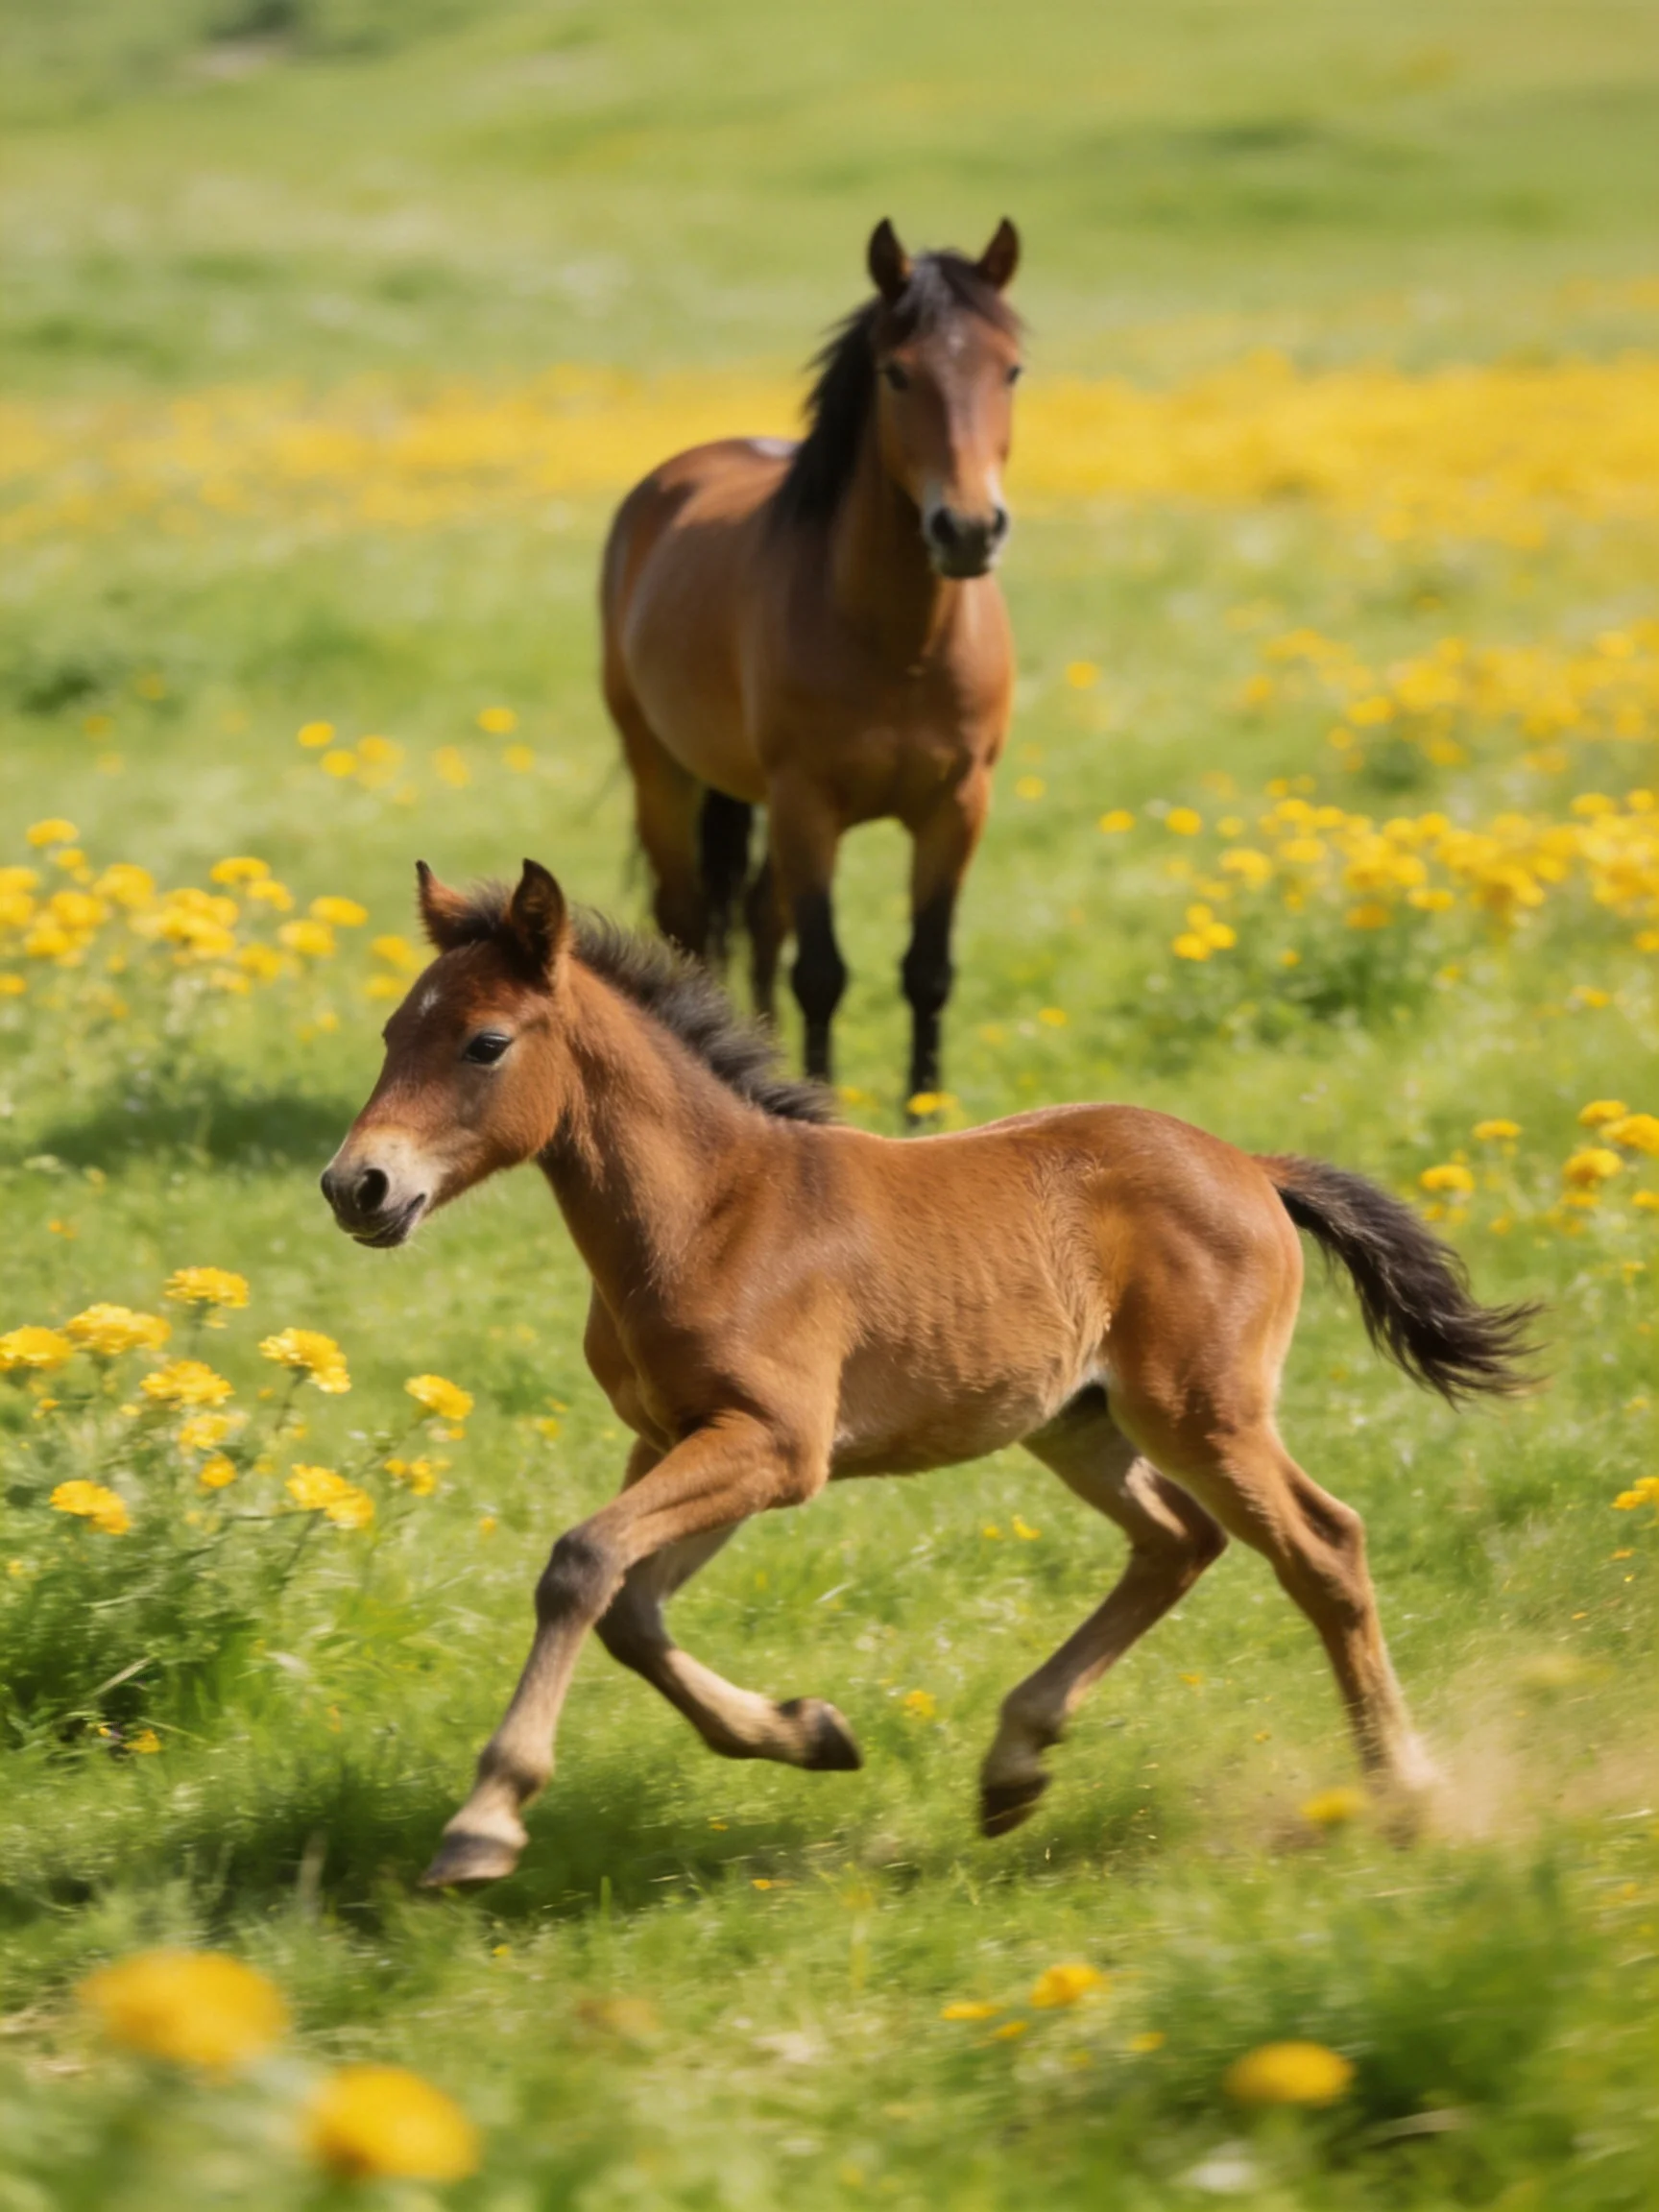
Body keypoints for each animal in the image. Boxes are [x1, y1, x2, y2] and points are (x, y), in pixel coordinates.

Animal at [321, 861, 1538, 1888]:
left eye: (484, 1043)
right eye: (389, 1032)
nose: (356, 1186)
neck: (711, 1211)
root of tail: (1251, 1166)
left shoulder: (775, 1445)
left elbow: (580, 1563)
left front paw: (483, 1825)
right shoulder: (686, 1436)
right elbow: (630, 1605)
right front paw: (809, 1732)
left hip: (1204, 1412)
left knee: (1322, 1546)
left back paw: (1407, 1794)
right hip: (1078, 1420)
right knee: (1178, 1540)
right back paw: (1013, 1768)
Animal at [599, 216, 1022, 1109]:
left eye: (1011, 370)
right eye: (897, 374)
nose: (969, 529)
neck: (899, 646)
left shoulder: (958, 806)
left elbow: (927, 969)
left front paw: (922, 1108)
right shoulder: (807, 802)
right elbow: (822, 972)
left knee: (762, 919)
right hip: (663, 772)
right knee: (691, 922)